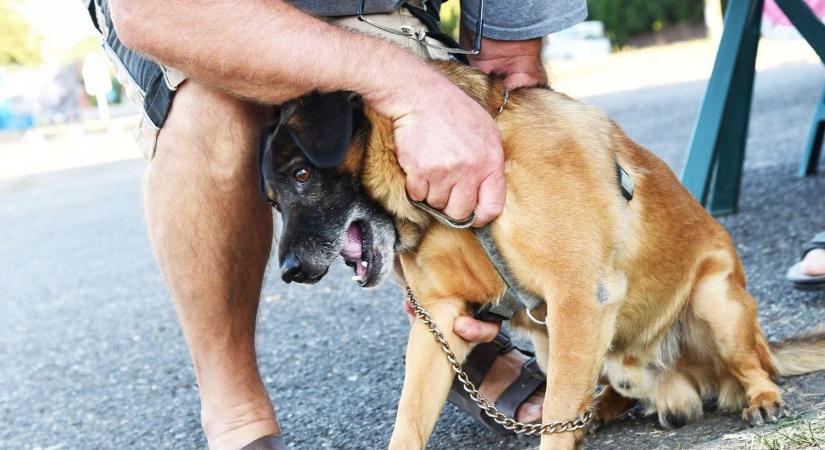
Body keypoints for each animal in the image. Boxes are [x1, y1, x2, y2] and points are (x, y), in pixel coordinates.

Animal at [260, 60, 824, 450]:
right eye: (272, 202)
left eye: (302, 175)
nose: (288, 273)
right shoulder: (438, 323)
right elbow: (408, 421)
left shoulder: (579, 296)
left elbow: (554, 423)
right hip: (561, 344)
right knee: (599, 392)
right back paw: (602, 409)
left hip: (715, 303)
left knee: (752, 367)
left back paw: (761, 397)